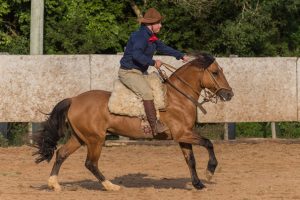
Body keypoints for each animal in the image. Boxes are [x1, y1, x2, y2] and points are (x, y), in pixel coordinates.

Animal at [32, 52, 234, 191]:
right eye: (215, 72)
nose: (229, 94)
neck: (177, 97)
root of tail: (74, 99)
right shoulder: (183, 134)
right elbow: (208, 143)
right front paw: (210, 172)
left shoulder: (184, 137)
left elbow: (190, 160)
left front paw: (198, 183)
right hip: (95, 140)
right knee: (91, 163)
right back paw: (111, 186)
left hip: (80, 138)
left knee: (62, 154)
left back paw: (54, 184)